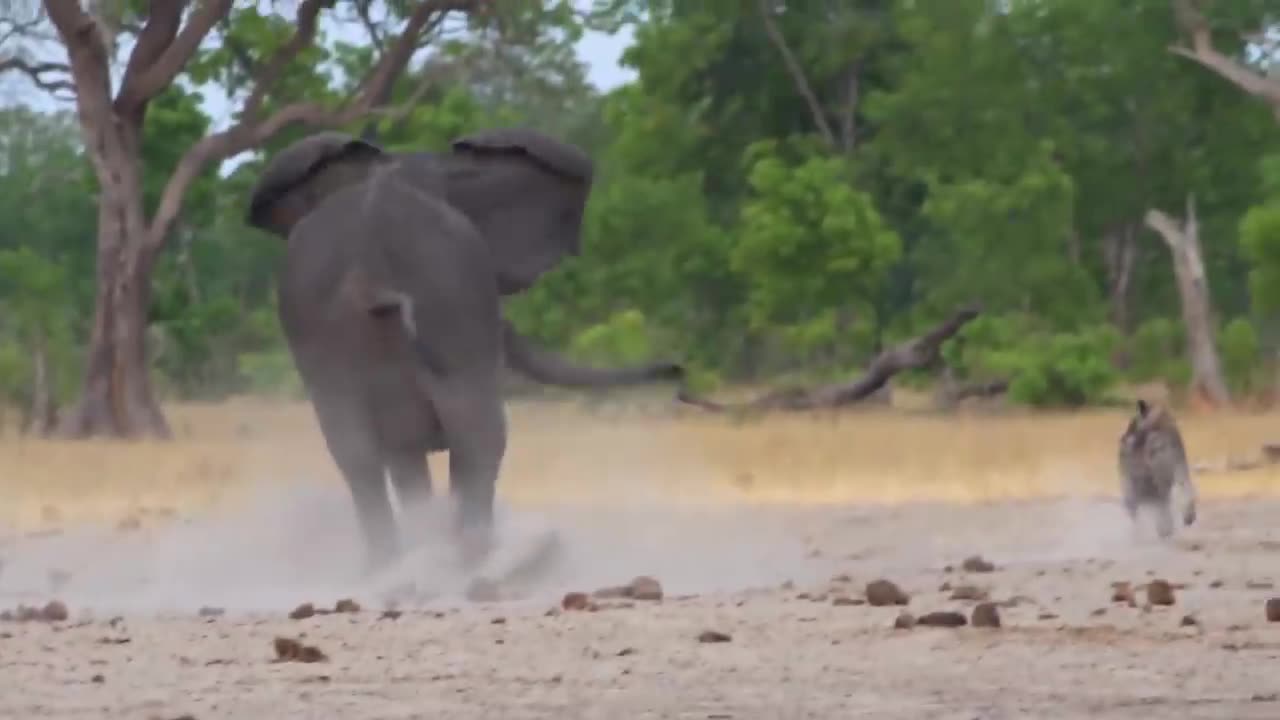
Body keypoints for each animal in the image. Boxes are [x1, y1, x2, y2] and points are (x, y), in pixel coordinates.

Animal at [244, 124, 686, 571]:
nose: (679, 374)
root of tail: (373, 261)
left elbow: (402, 455)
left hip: (324, 331)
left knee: (356, 453)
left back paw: (389, 564)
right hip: (451, 301)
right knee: (479, 435)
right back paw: (474, 554)